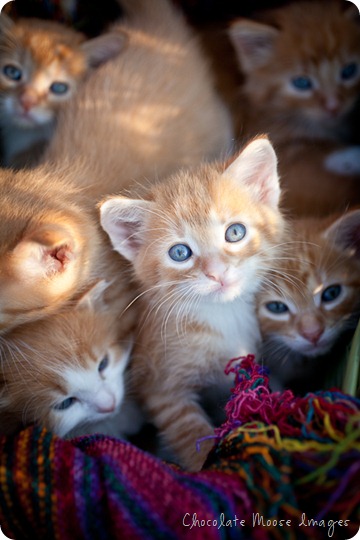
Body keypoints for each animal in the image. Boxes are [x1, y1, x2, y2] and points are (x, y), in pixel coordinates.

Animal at [100, 137, 286, 470]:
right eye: (180, 253)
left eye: (235, 232)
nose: (217, 272)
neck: (222, 316)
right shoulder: (160, 388)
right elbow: (192, 436)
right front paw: (210, 467)